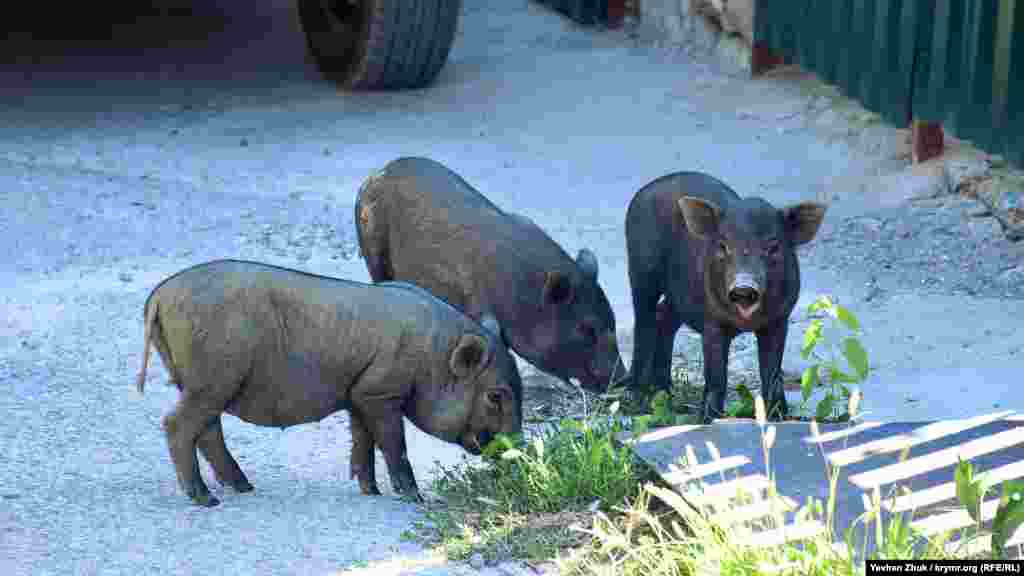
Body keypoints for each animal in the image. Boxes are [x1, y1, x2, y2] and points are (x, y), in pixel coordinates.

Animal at [136, 258, 524, 504]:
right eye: (495, 395)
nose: (518, 453)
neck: (433, 358)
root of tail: (160, 294)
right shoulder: (381, 393)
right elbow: (394, 444)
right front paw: (416, 499)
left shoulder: (358, 394)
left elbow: (363, 441)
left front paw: (371, 492)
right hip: (213, 378)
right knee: (177, 424)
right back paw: (206, 499)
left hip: (202, 381)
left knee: (207, 430)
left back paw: (243, 487)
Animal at [354, 154, 622, 391]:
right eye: (587, 328)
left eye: (612, 321)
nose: (622, 379)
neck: (521, 293)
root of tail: (375, 174)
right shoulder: (479, 308)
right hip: (372, 251)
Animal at [618, 170, 827, 422]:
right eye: (723, 246)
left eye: (773, 247)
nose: (744, 287)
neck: (746, 322)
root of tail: (648, 188)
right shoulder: (711, 321)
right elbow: (716, 375)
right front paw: (708, 419)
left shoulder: (779, 319)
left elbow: (772, 372)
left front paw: (779, 416)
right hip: (641, 268)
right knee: (643, 321)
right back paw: (633, 398)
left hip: (678, 295)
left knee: (664, 318)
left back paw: (665, 395)